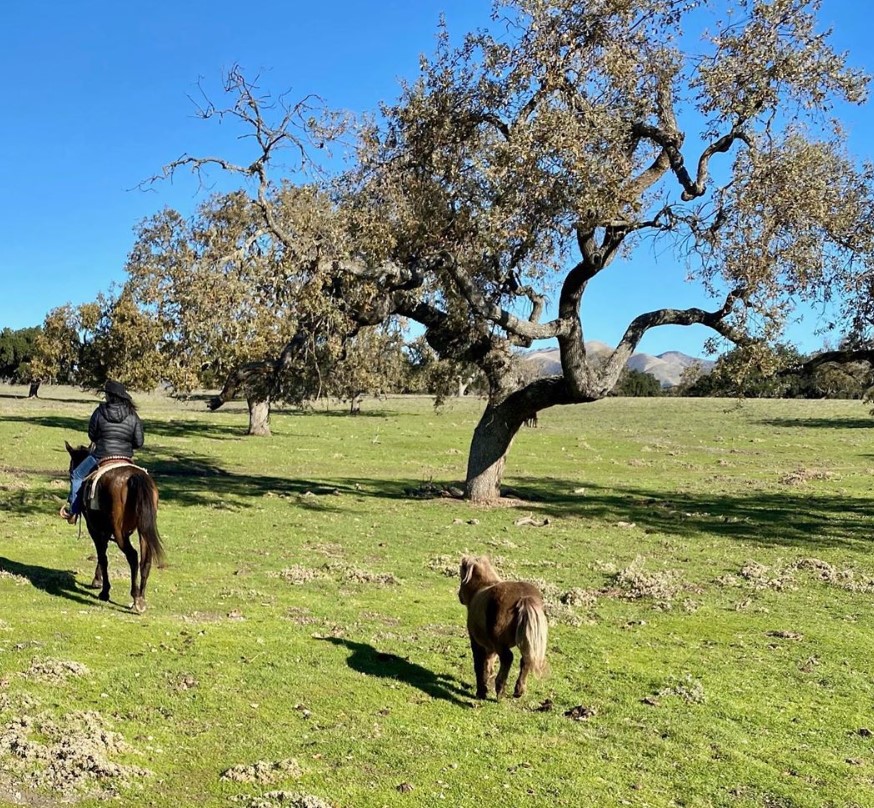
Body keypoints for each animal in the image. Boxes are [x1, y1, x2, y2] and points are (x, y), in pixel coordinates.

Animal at [65, 442, 165, 612]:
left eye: (71, 469)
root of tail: (134, 477)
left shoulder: (95, 528)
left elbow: (102, 556)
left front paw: (103, 589)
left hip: (119, 532)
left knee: (132, 556)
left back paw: (135, 596)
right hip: (143, 530)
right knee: (146, 559)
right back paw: (141, 598)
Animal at [456, 556, 544, 700]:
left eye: (461, 574)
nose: (460, 596)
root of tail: (524, 599)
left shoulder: (476, 641)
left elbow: (479, 664)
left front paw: (482, 691)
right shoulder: (490, 646)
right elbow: (489, 663)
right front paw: (487, 683)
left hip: (499, 642)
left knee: (508, 658)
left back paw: (500, 689)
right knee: (526, 659)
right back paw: (518, 690)